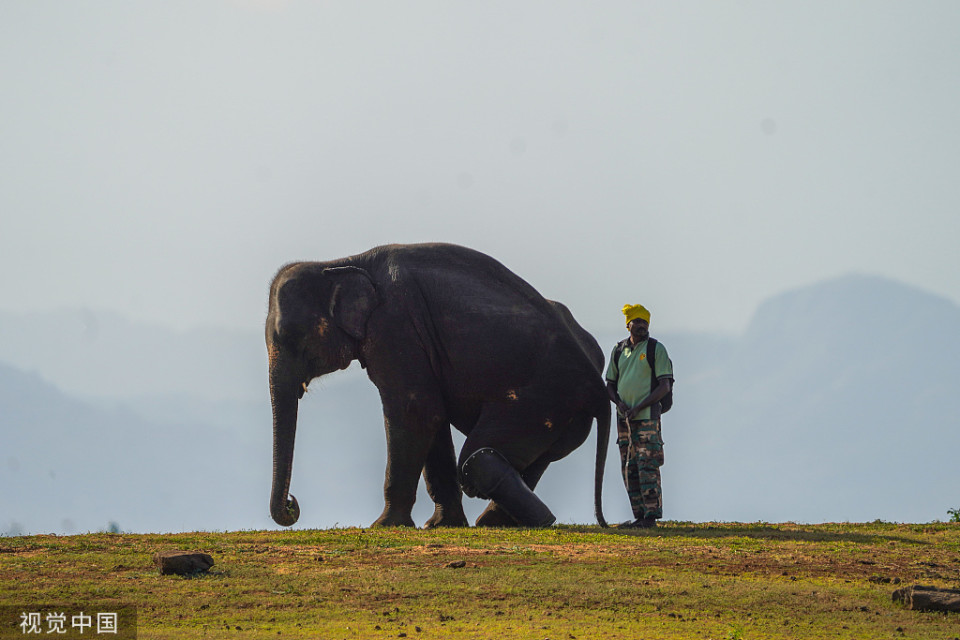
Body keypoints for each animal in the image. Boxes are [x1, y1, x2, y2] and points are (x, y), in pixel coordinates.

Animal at [266, 242, 612, 528]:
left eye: (291, 336)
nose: (292, 504)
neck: (342, 262)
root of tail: (598, 386)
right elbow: (433, 418)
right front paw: (443, 525)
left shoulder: (395, 325)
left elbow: (414, 411)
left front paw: (385, 526)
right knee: (533, 460)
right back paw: (507, 522)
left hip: (540, 400)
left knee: (475, 459)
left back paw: (523, 521)